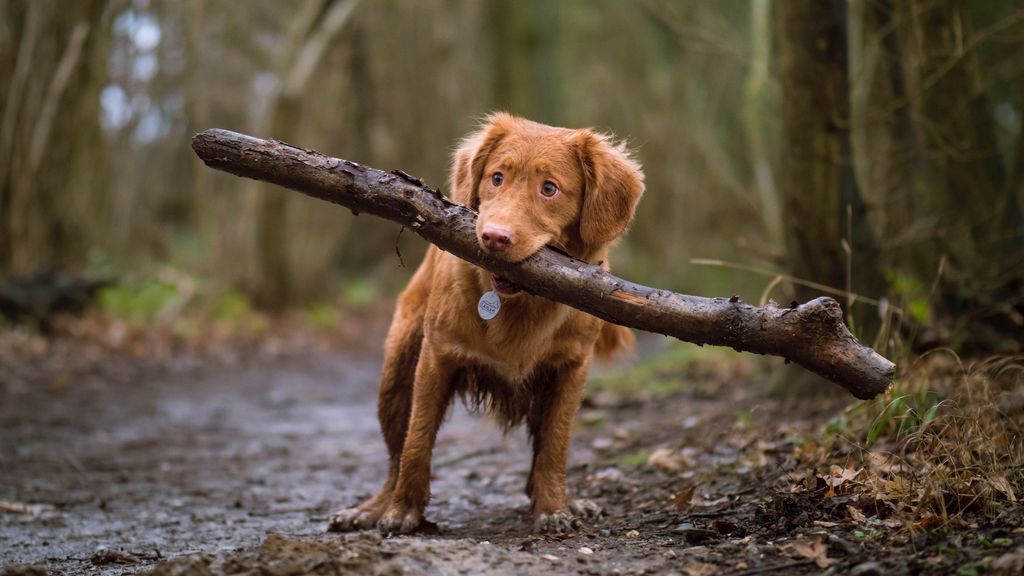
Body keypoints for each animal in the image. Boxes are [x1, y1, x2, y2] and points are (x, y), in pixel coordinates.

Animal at [331, 112, 643, 532]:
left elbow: (555, 445)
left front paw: (554, 508)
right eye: (497, 178)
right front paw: (403, 511)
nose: (494, 237)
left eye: (549, 189)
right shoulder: (436, 356)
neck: (519, 304)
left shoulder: (571, 369)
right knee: (396, 454)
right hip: (396, 375)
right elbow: (417, 440)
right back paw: (373, 508)